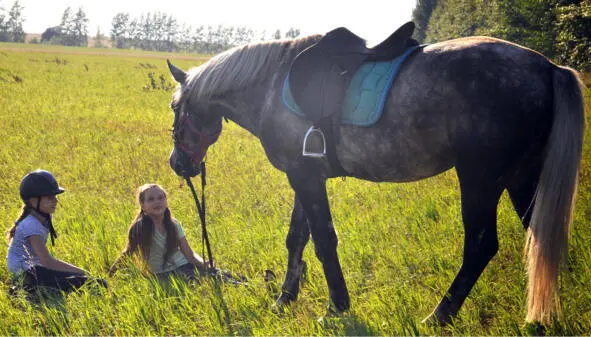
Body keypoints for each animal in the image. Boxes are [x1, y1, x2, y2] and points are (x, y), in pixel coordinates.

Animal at [166, 32, 588, 324]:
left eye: (174, 106)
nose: (177, 164)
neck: (270, 86)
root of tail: (548, 68)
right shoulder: (304, 175)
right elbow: (296, 239)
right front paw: (285, 299)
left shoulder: (306, 179)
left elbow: (323, 242)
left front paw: (335, 307)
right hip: (522, 177)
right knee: (540, 238)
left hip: (481, 178)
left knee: (481, 246)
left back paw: (440, 315)